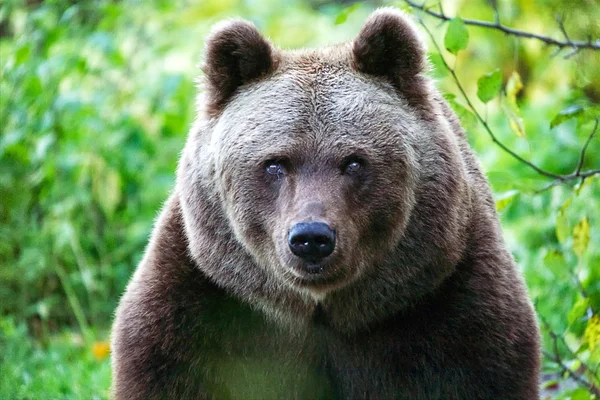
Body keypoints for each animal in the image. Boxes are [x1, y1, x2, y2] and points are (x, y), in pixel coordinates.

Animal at [110, 7, 540, 400]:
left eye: (353, 161)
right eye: (275, 163)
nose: (311, 238)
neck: (320, 311)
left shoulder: (450, 305)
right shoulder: (202, 312)